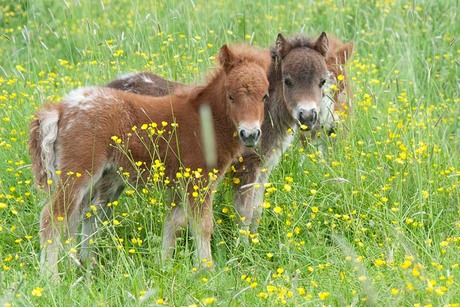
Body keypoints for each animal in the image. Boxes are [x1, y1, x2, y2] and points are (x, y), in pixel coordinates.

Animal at [28, 44, 272, 280]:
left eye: (265, 96)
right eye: (231, 96)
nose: (250, 134)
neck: (205, 120)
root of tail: (61, 108)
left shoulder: (179, 185)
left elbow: (174, 223)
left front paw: (164, 265)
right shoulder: (198, 182)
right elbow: (202, 226)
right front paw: (207, 270)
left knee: (76, 216)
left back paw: (78, 267)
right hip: (79, 173)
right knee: (52, 217)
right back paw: (51, 277)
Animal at [106, 33, 330, 236]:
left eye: (322, 81)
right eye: (287, 81)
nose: (308, 116)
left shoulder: (264, 167)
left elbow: (257, 208)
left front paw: (255, 242)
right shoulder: (246, 167)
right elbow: (244, 212)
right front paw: (243, 248)